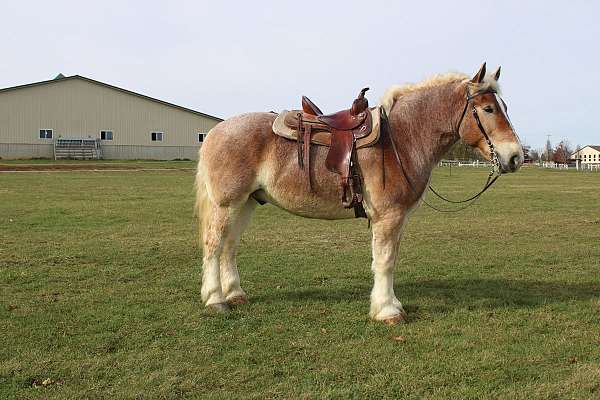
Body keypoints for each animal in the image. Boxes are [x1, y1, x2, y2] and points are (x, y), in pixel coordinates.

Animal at [196, 63, 520, 324]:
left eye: (504, 106)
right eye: (489, 109)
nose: (516, 156)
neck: (402, 138)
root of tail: (215, 131)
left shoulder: (397, 219)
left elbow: (389, 259)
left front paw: (389, 304)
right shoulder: (388, 217)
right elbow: (385, 261)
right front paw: (387, 311)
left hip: (247, 203)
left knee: (229, 246)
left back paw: (235, 293)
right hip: (227, 204)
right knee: (214, 245)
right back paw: (216, 300)